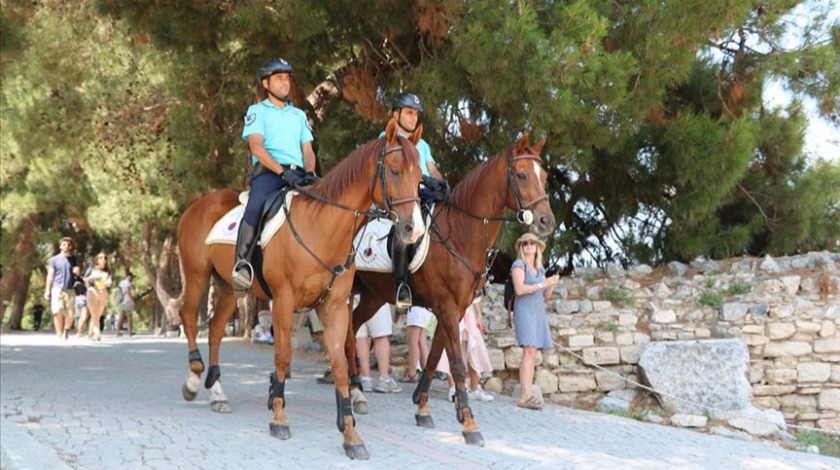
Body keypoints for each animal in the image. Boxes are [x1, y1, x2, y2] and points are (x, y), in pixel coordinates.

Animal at [178, 119, 426, 460]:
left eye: (420, 177)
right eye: (395, 170)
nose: (414, 229)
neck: (321, 226)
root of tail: (198, 204)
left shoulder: (334, 307)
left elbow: (340, 363)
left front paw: (351, 435)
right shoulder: (284, 301)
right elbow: (283, 357)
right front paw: (279, 417)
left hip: (229, 289)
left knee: (215, 330)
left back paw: (217, 392)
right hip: (197, 276)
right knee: (188, 317)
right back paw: (192, 379)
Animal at [344, 134, 556, 446]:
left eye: (544, 176)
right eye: (521, 175)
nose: (546, 221)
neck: (460, 232)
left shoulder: (454, 309)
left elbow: (434, 357)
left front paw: (422, 407)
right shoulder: (445, 306)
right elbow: (456, 363)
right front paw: (468, 422)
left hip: (372, 296)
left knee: (353, 327)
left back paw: (356, 389)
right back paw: (353, 389)